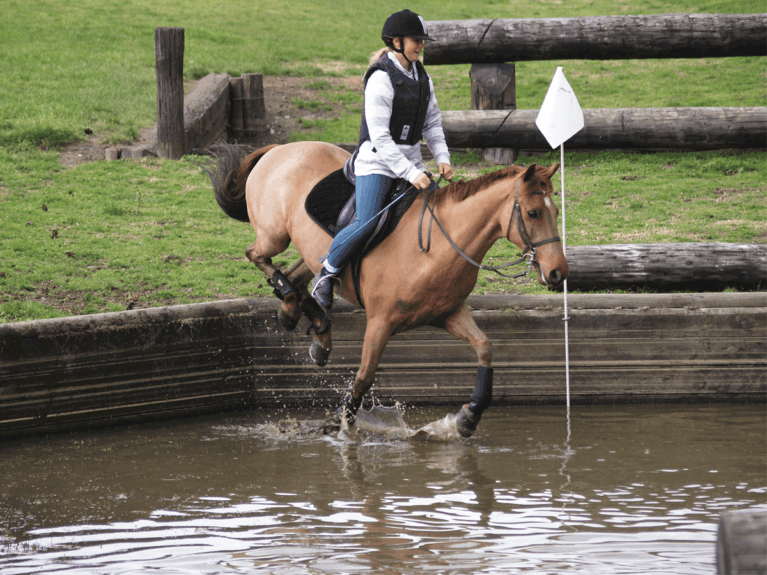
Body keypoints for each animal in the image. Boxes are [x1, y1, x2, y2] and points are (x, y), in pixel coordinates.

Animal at [204, 142, 568, 438]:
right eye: (533, 212)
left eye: (555, 211)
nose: (558, 272)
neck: (438, 245)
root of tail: (279, 148)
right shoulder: (380, 321)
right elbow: (364, 378)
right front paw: (343, 424)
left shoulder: (450, 314)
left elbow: (485, 348)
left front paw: (469, 416)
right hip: (274, 235)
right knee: (258, 255)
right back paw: (298, 311)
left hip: (309, 249)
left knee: (304, 275)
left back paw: (310, 324)